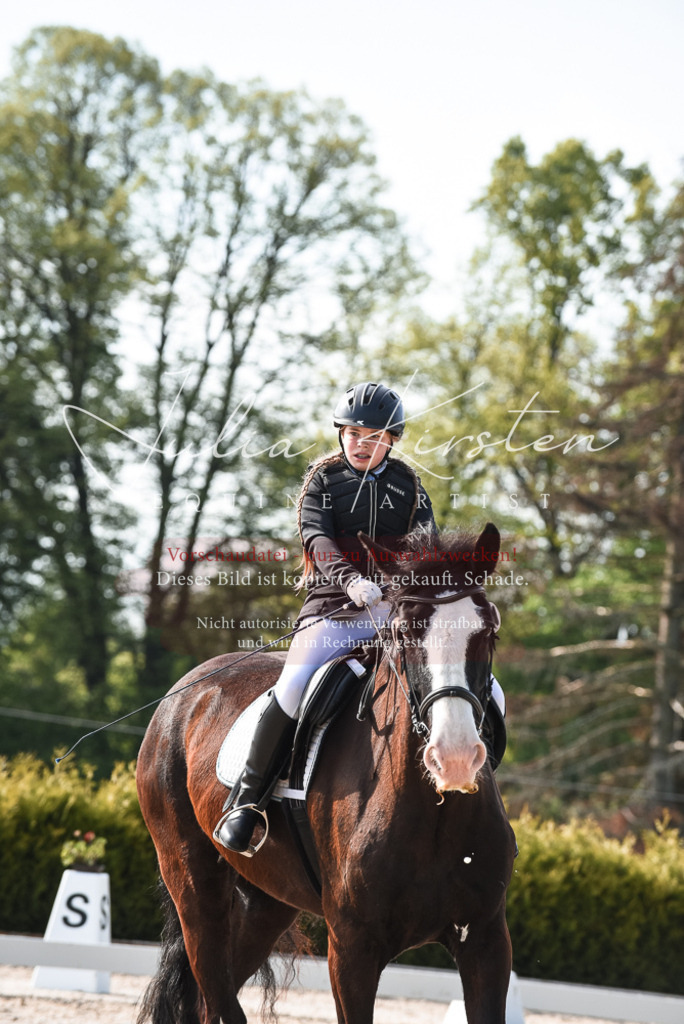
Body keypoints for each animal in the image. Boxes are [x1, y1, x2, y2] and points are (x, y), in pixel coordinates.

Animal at [136, 524, 517, 1024]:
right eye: (403, 632)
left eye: (489, 631)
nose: (453, 757)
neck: (434, 814)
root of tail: (184, 691)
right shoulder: (352, 948)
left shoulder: (486, 941)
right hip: (193, 885)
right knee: (213, 983)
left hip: (265, 903)